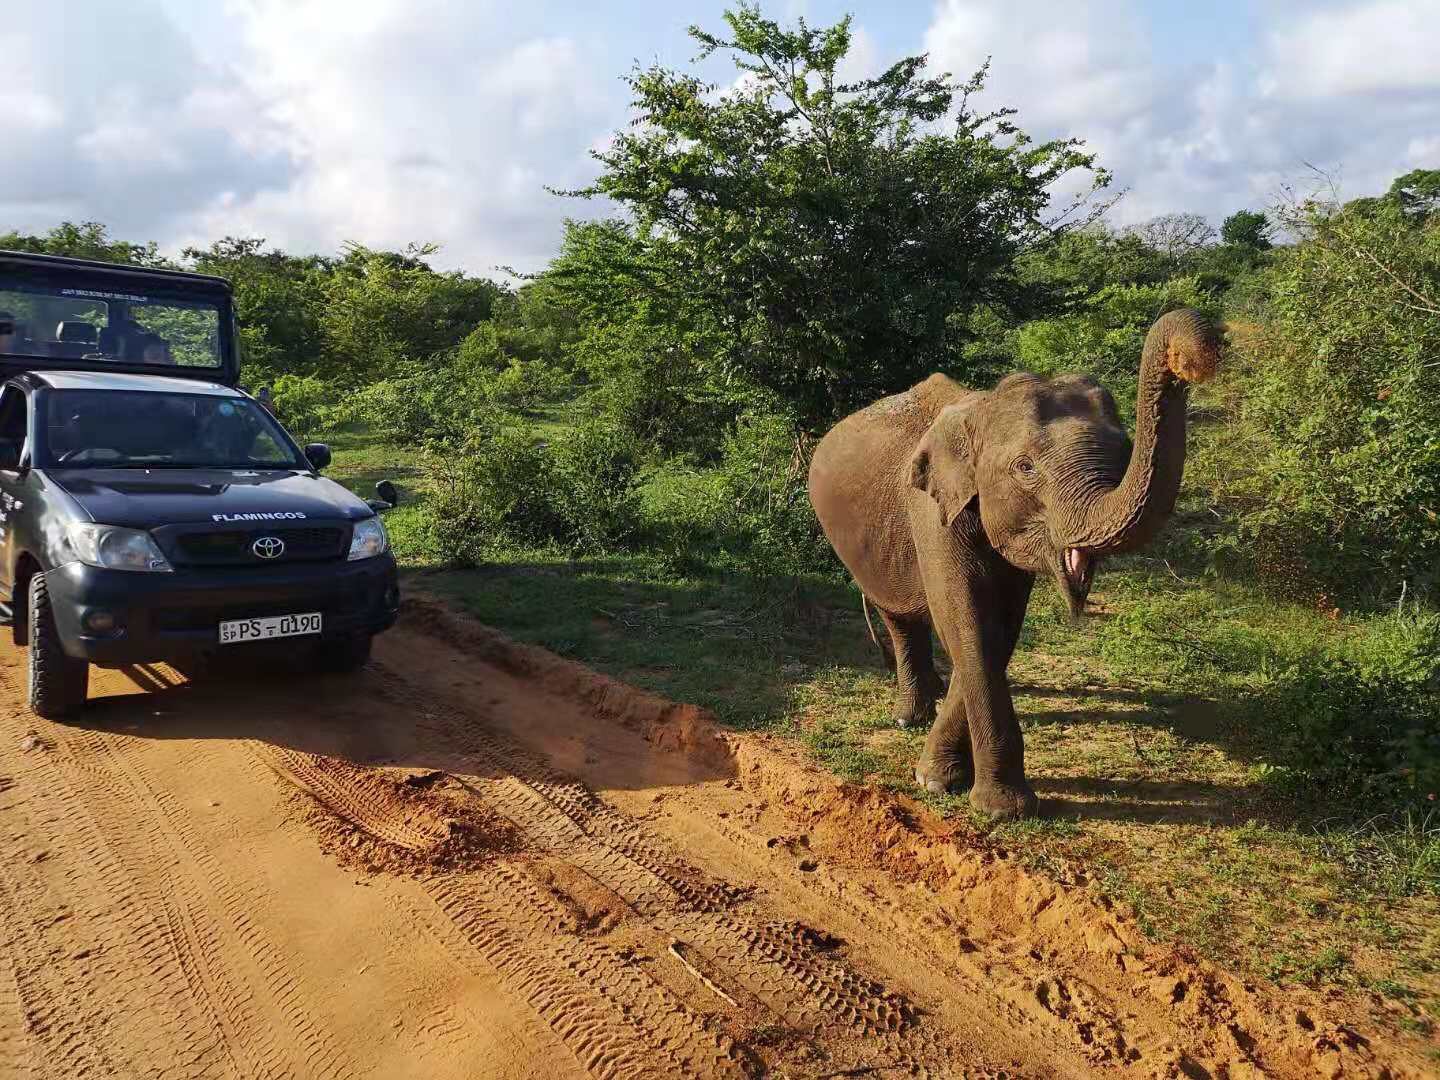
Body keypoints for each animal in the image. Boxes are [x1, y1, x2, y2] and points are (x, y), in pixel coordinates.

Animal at [806, 311, 1221, 817]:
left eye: (1124, 453)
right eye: (1025, 468)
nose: (1197, 353)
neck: (982, 408)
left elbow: (999, 628)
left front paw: (944, 777)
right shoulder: (931, 513)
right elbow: (967, 622)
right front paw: (989, 803)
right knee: (898, 616)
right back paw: (909, 717)